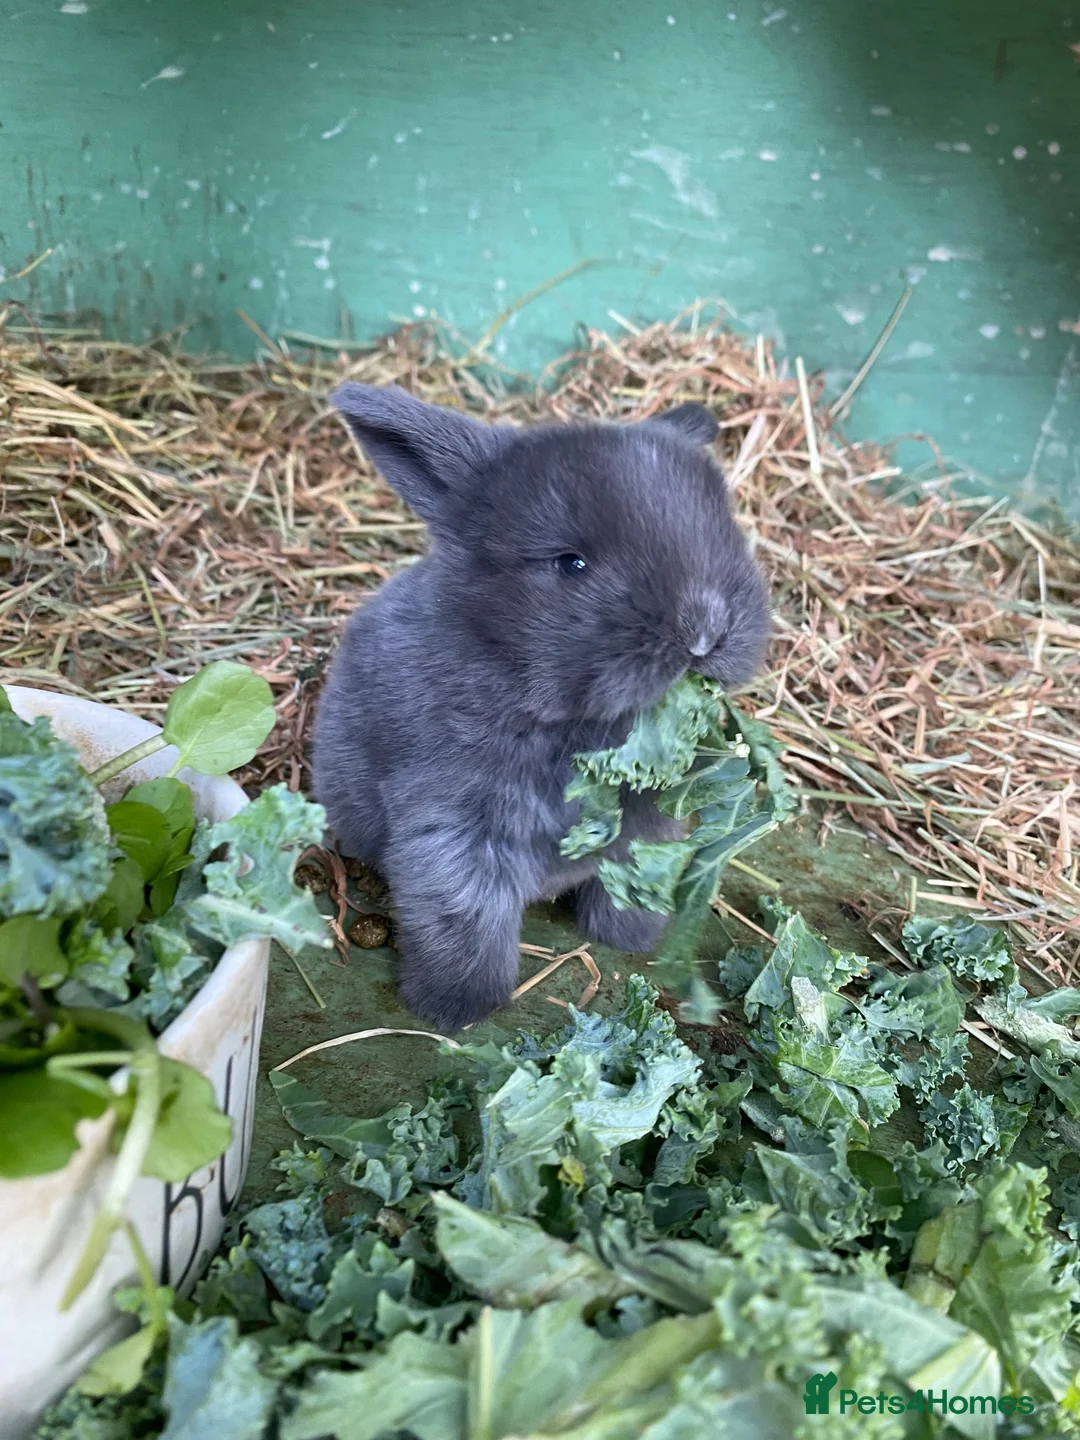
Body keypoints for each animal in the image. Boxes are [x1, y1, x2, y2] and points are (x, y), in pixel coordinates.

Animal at [311, 384, 771, 1031]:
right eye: (570, 563)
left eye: (722, 533)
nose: (704, 632)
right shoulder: (453, 831)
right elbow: (464, 918)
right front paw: (454, 1009)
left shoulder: (645, 833)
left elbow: (627, 885)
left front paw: (633, 938)